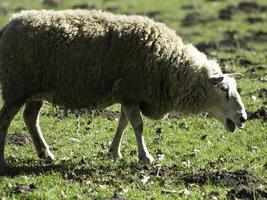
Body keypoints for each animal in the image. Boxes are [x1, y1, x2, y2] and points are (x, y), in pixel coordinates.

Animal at [0, 9, 249, 173]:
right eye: (224, 89)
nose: (243, 118)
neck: (170, 66)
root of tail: (10, 23)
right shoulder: (131, 93)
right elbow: (137, 126)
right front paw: (145, 157)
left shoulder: (129, 95)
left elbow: (123, 123)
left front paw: (114, 152)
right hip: (16, 86)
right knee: (6, 120)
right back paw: (4, 160)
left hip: (35, 90)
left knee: (30, 118)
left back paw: (46, 154)